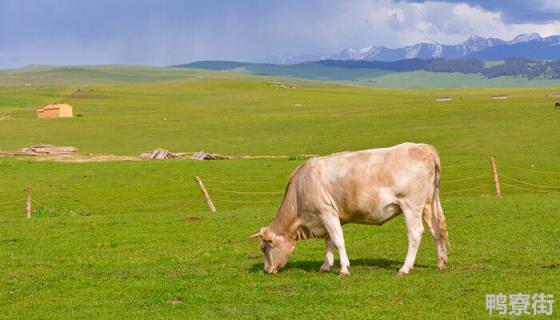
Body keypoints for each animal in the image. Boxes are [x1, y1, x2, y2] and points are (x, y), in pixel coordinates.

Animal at [252, 142, 448, 276]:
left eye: (264, 249)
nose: (267, 270)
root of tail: (424, 148)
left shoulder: (327, 212)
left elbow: (338, 240)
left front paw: (344, 269)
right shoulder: (328, 218)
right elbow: (329, 241)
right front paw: (326, 265)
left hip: (411, 205)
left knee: (415, 234)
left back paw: (405, 268)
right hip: (428, 205)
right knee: (436, 231)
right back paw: (441, 263)